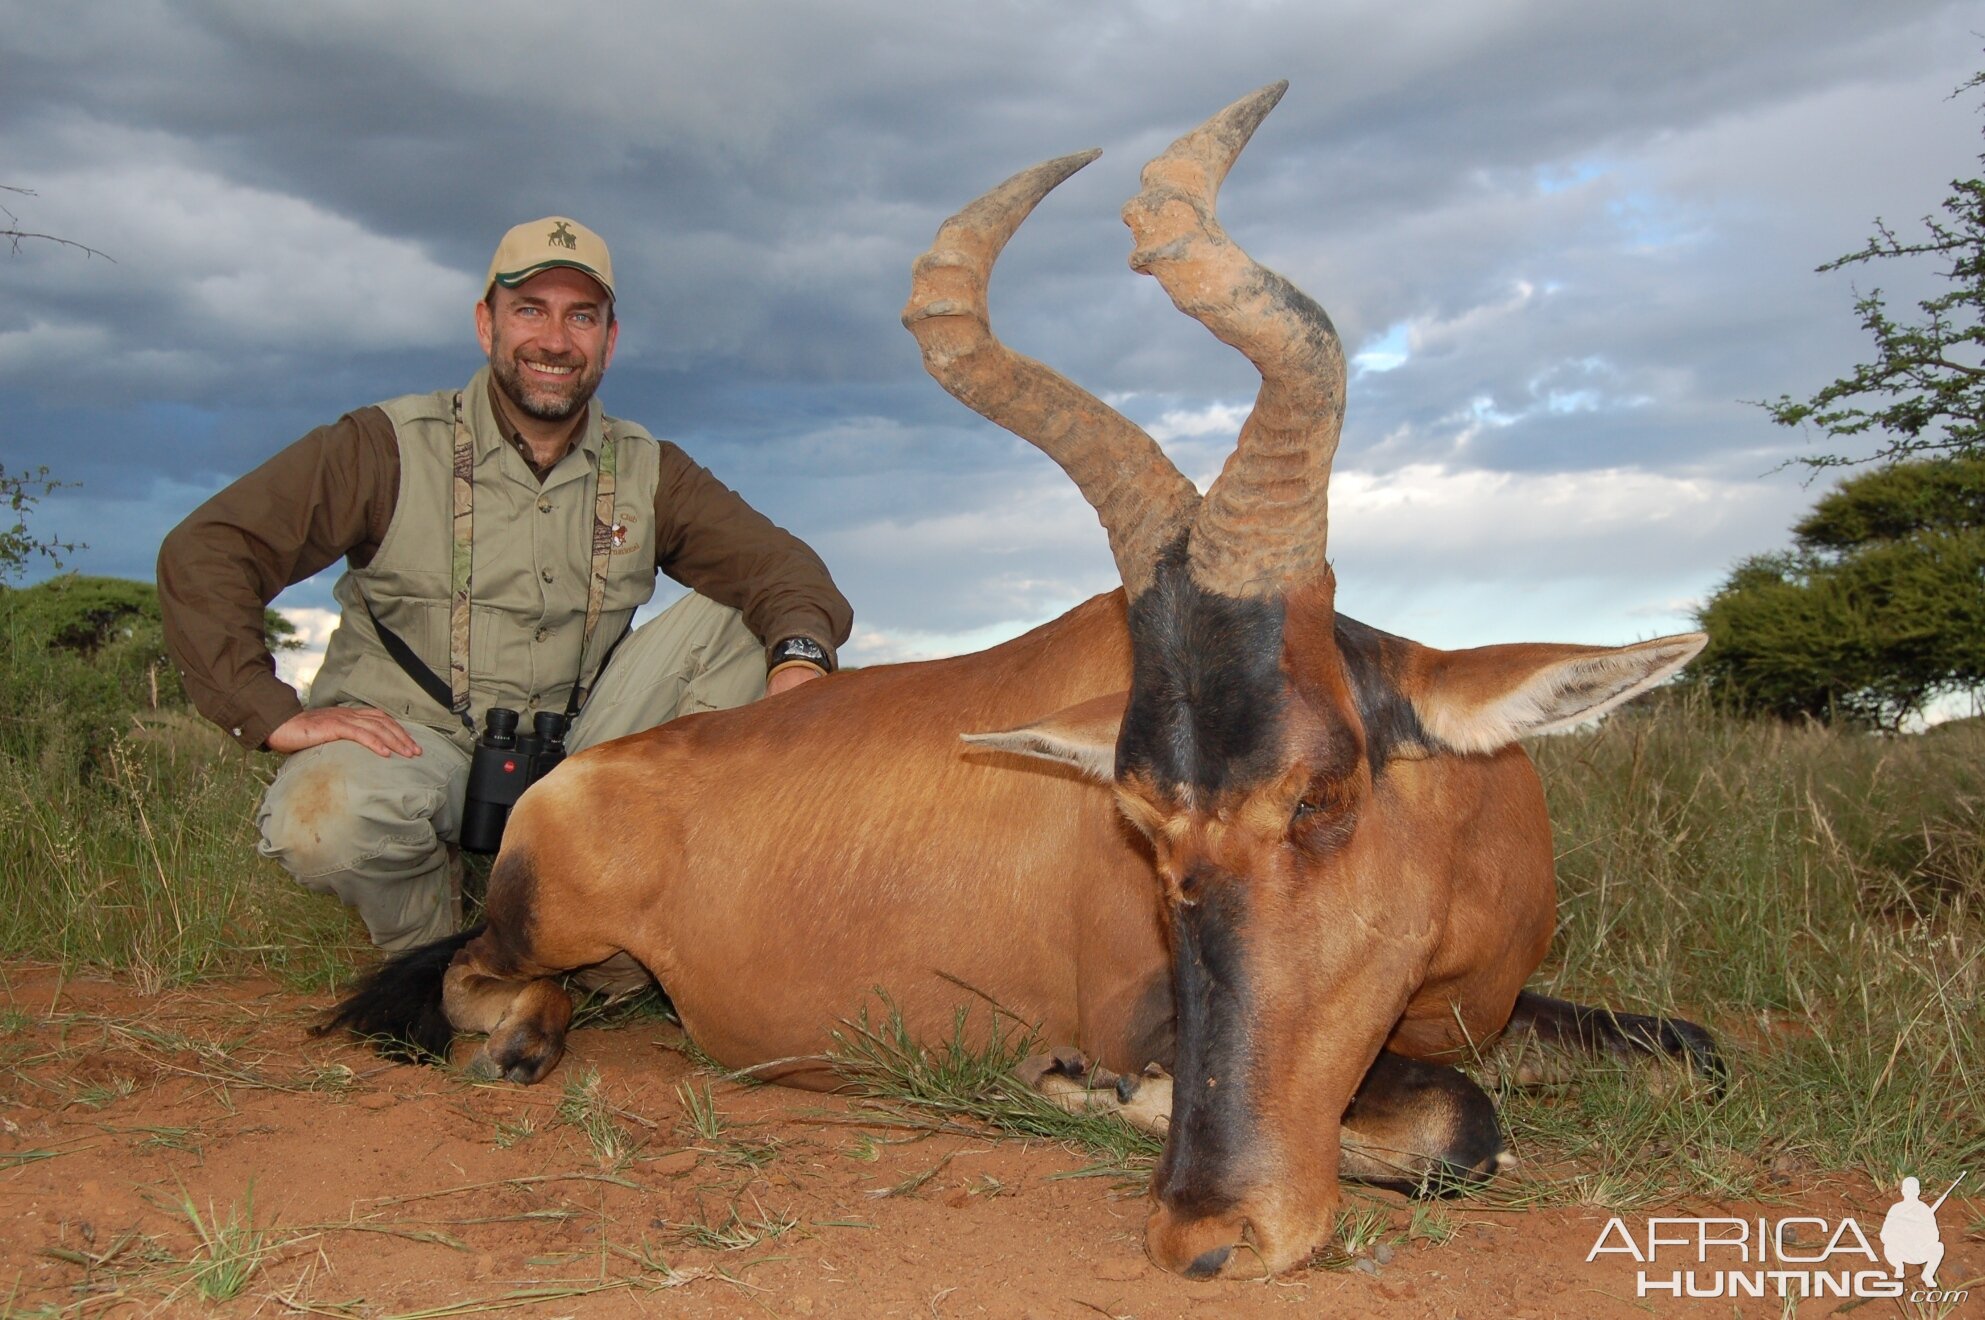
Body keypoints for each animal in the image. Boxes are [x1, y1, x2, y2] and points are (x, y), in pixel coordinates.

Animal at [325, 82, 1722, 1278]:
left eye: (1322, 797)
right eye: (1140, 827)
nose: (1201, 1236)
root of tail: (575, 773)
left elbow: (1687, 1053)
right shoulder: (1150, 1009)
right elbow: (1453, 1126)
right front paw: (1084, 1088)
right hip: (538, 923)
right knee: (475, 977)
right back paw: (522, 1037)